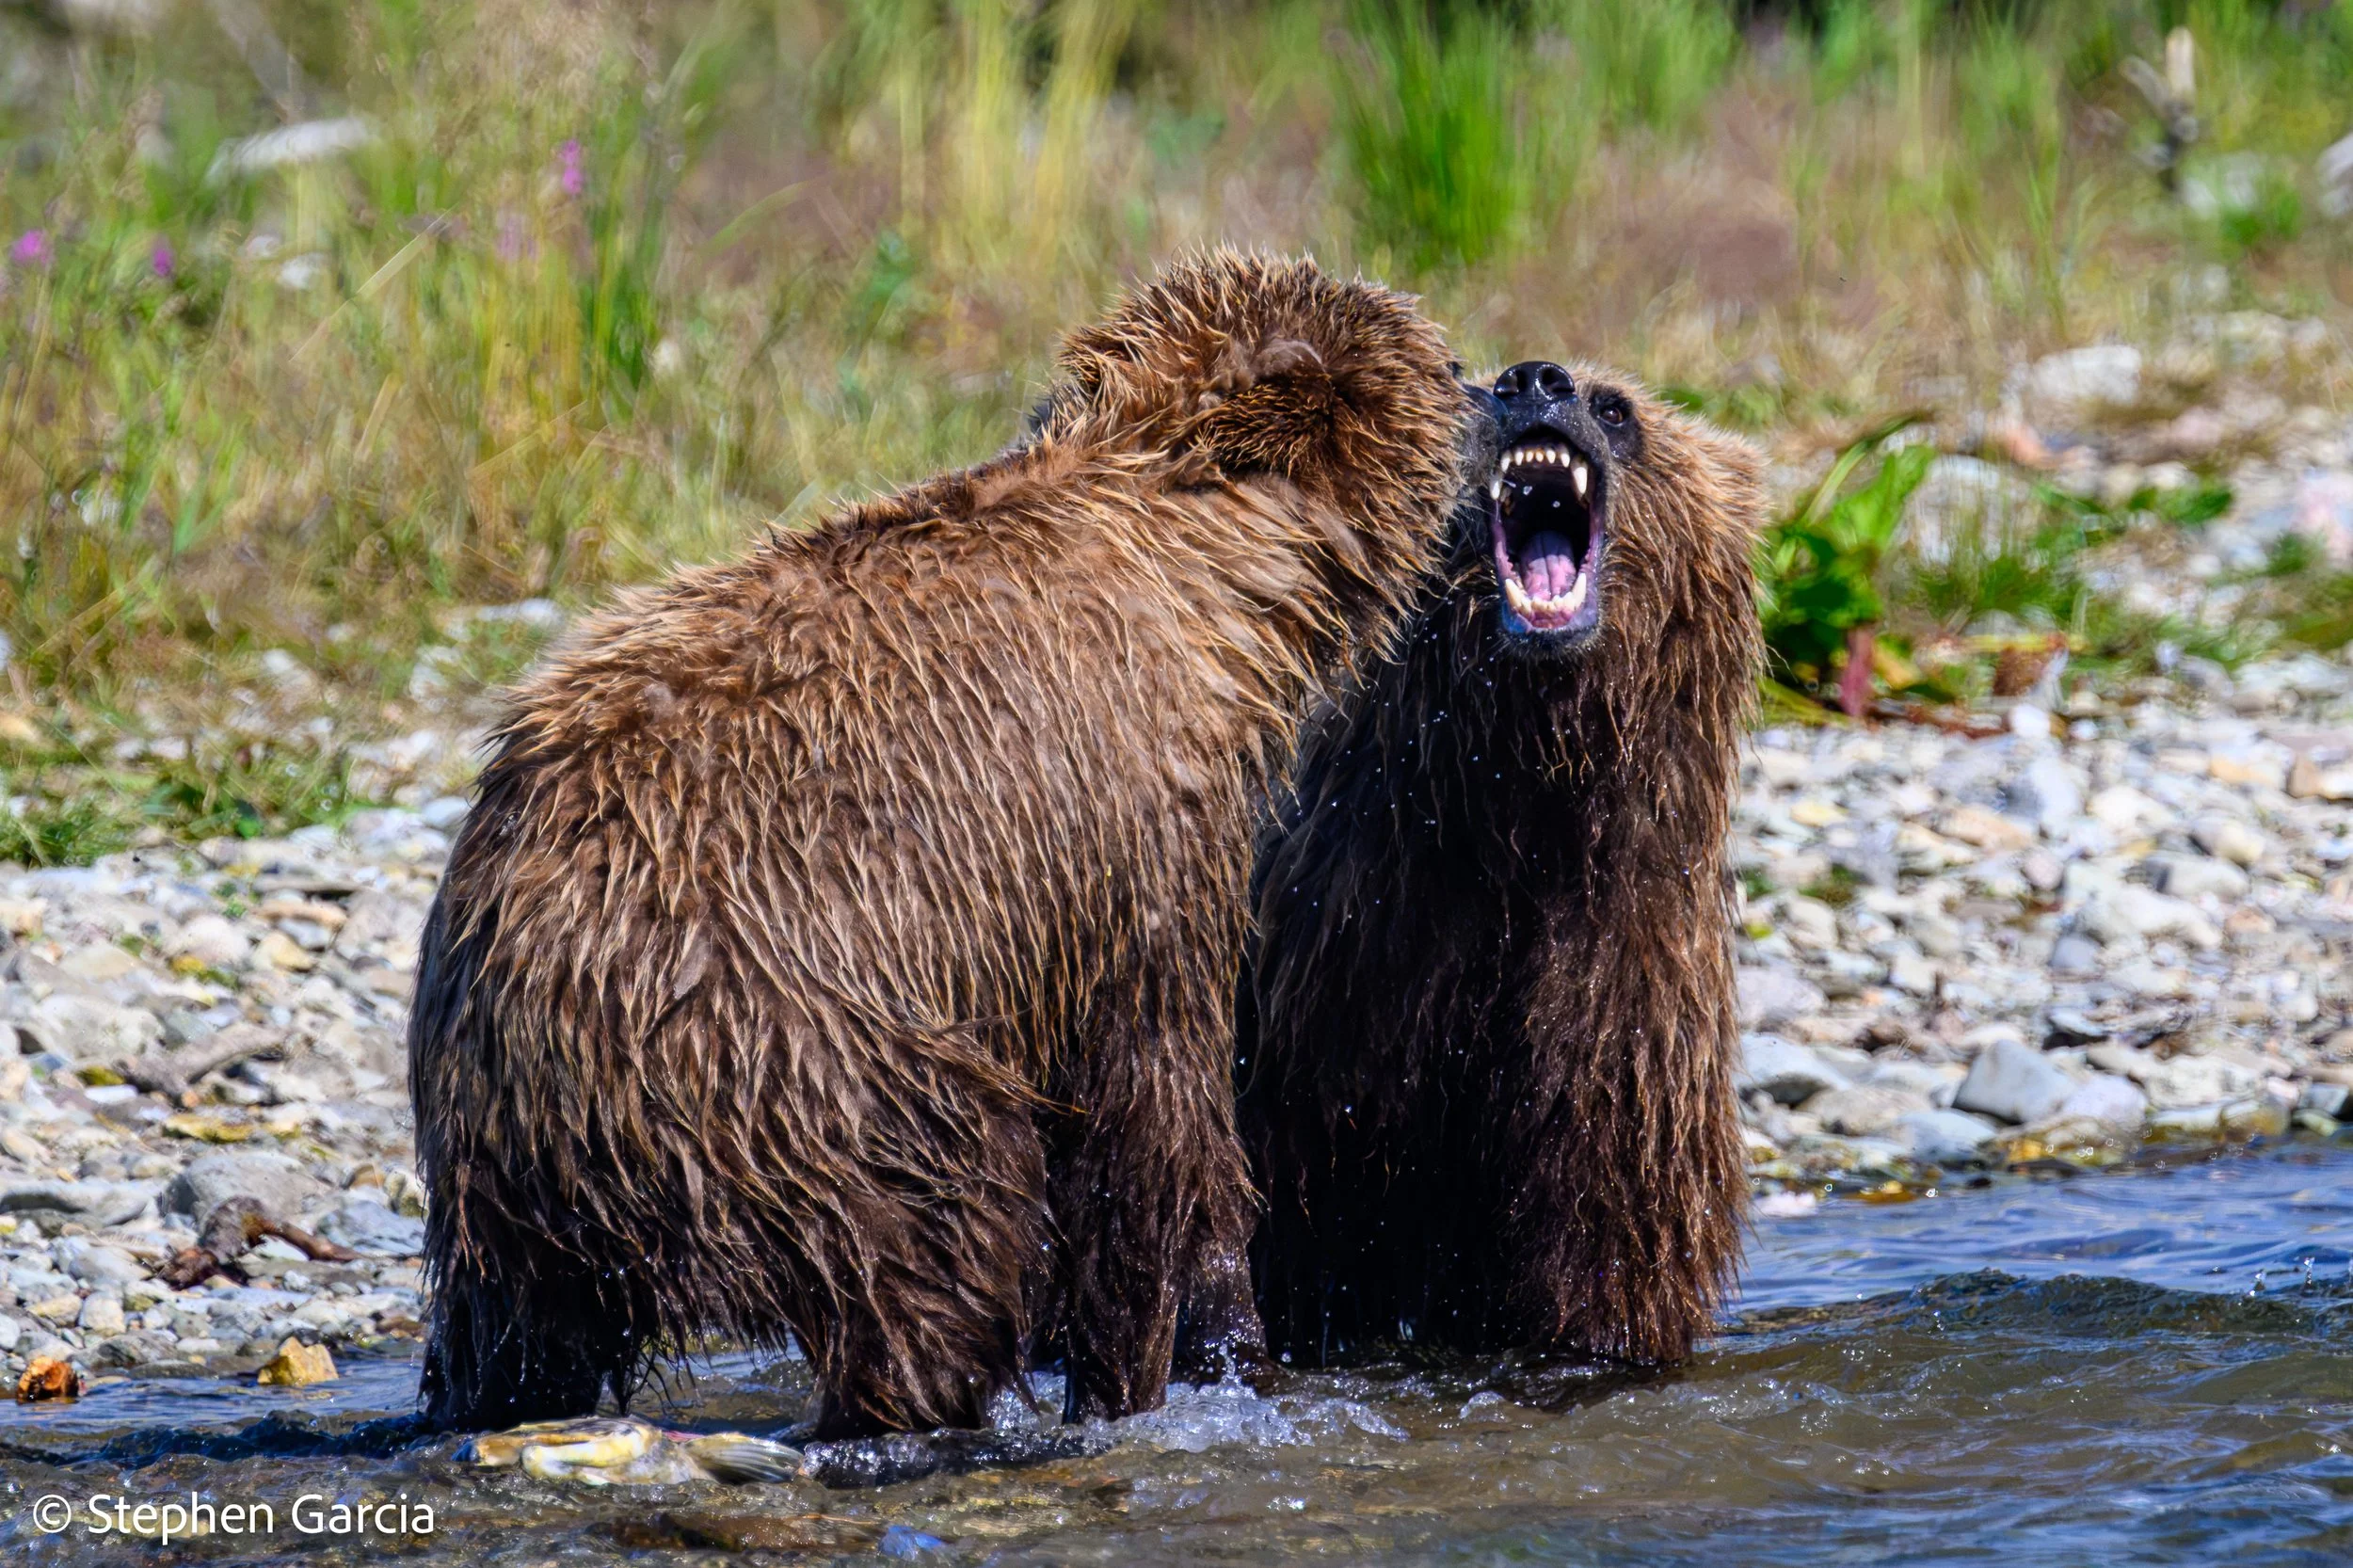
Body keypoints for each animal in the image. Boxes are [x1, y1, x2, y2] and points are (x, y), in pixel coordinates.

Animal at [407, 252, 1487, 1437]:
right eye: (1444, 364)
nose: (1497, 386)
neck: (1212, 579)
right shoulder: (1136, 821)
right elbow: (1151, 1111)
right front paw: (1177, 1363)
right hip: (779, 1044)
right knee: (935, 1234)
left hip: (497, 1166)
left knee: (511, 1332)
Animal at [1235, 358, 1763, 1369]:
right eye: (1477, 387)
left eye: (1616, 408)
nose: (1536, 381)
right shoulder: (1337, 967)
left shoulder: (1624, 987)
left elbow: (1608, 1239)